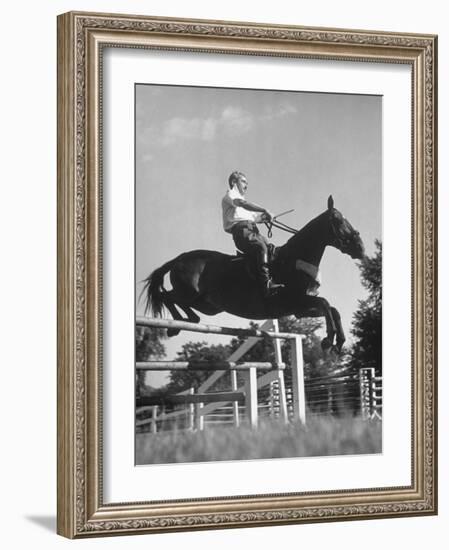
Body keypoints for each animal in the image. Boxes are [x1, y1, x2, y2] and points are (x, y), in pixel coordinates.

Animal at [142, 197, 362, 354]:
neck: (294, 258)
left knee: (182, 305)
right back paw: (175, 326)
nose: (360, 248)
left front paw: (338, 342)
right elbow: (325, 303)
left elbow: (333, 309)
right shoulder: (296, 301)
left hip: (207, 305)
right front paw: (328, 339)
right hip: (189, 293)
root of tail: (179, 259)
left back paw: (188, 321)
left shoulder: (300, 308)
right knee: (165, 295)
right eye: (338, 220)